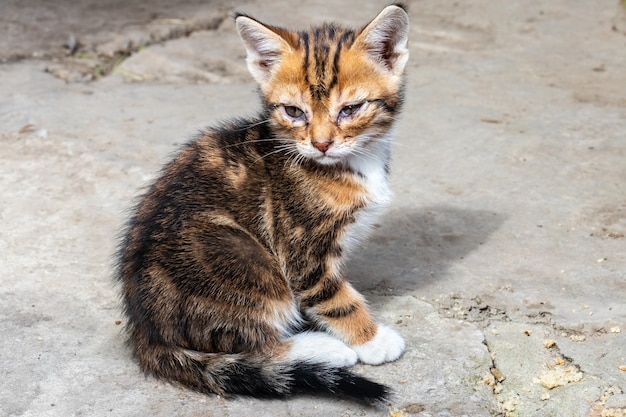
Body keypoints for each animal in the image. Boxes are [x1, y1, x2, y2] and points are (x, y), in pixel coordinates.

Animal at [117, 4, 410, 404]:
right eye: (294, 112)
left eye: (350, 109)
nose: (321, 144)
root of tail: (145, 332)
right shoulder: (300, 247)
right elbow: (332, 296)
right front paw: (372, 339)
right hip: (244, 256)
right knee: (253, 342)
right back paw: (323, 348)